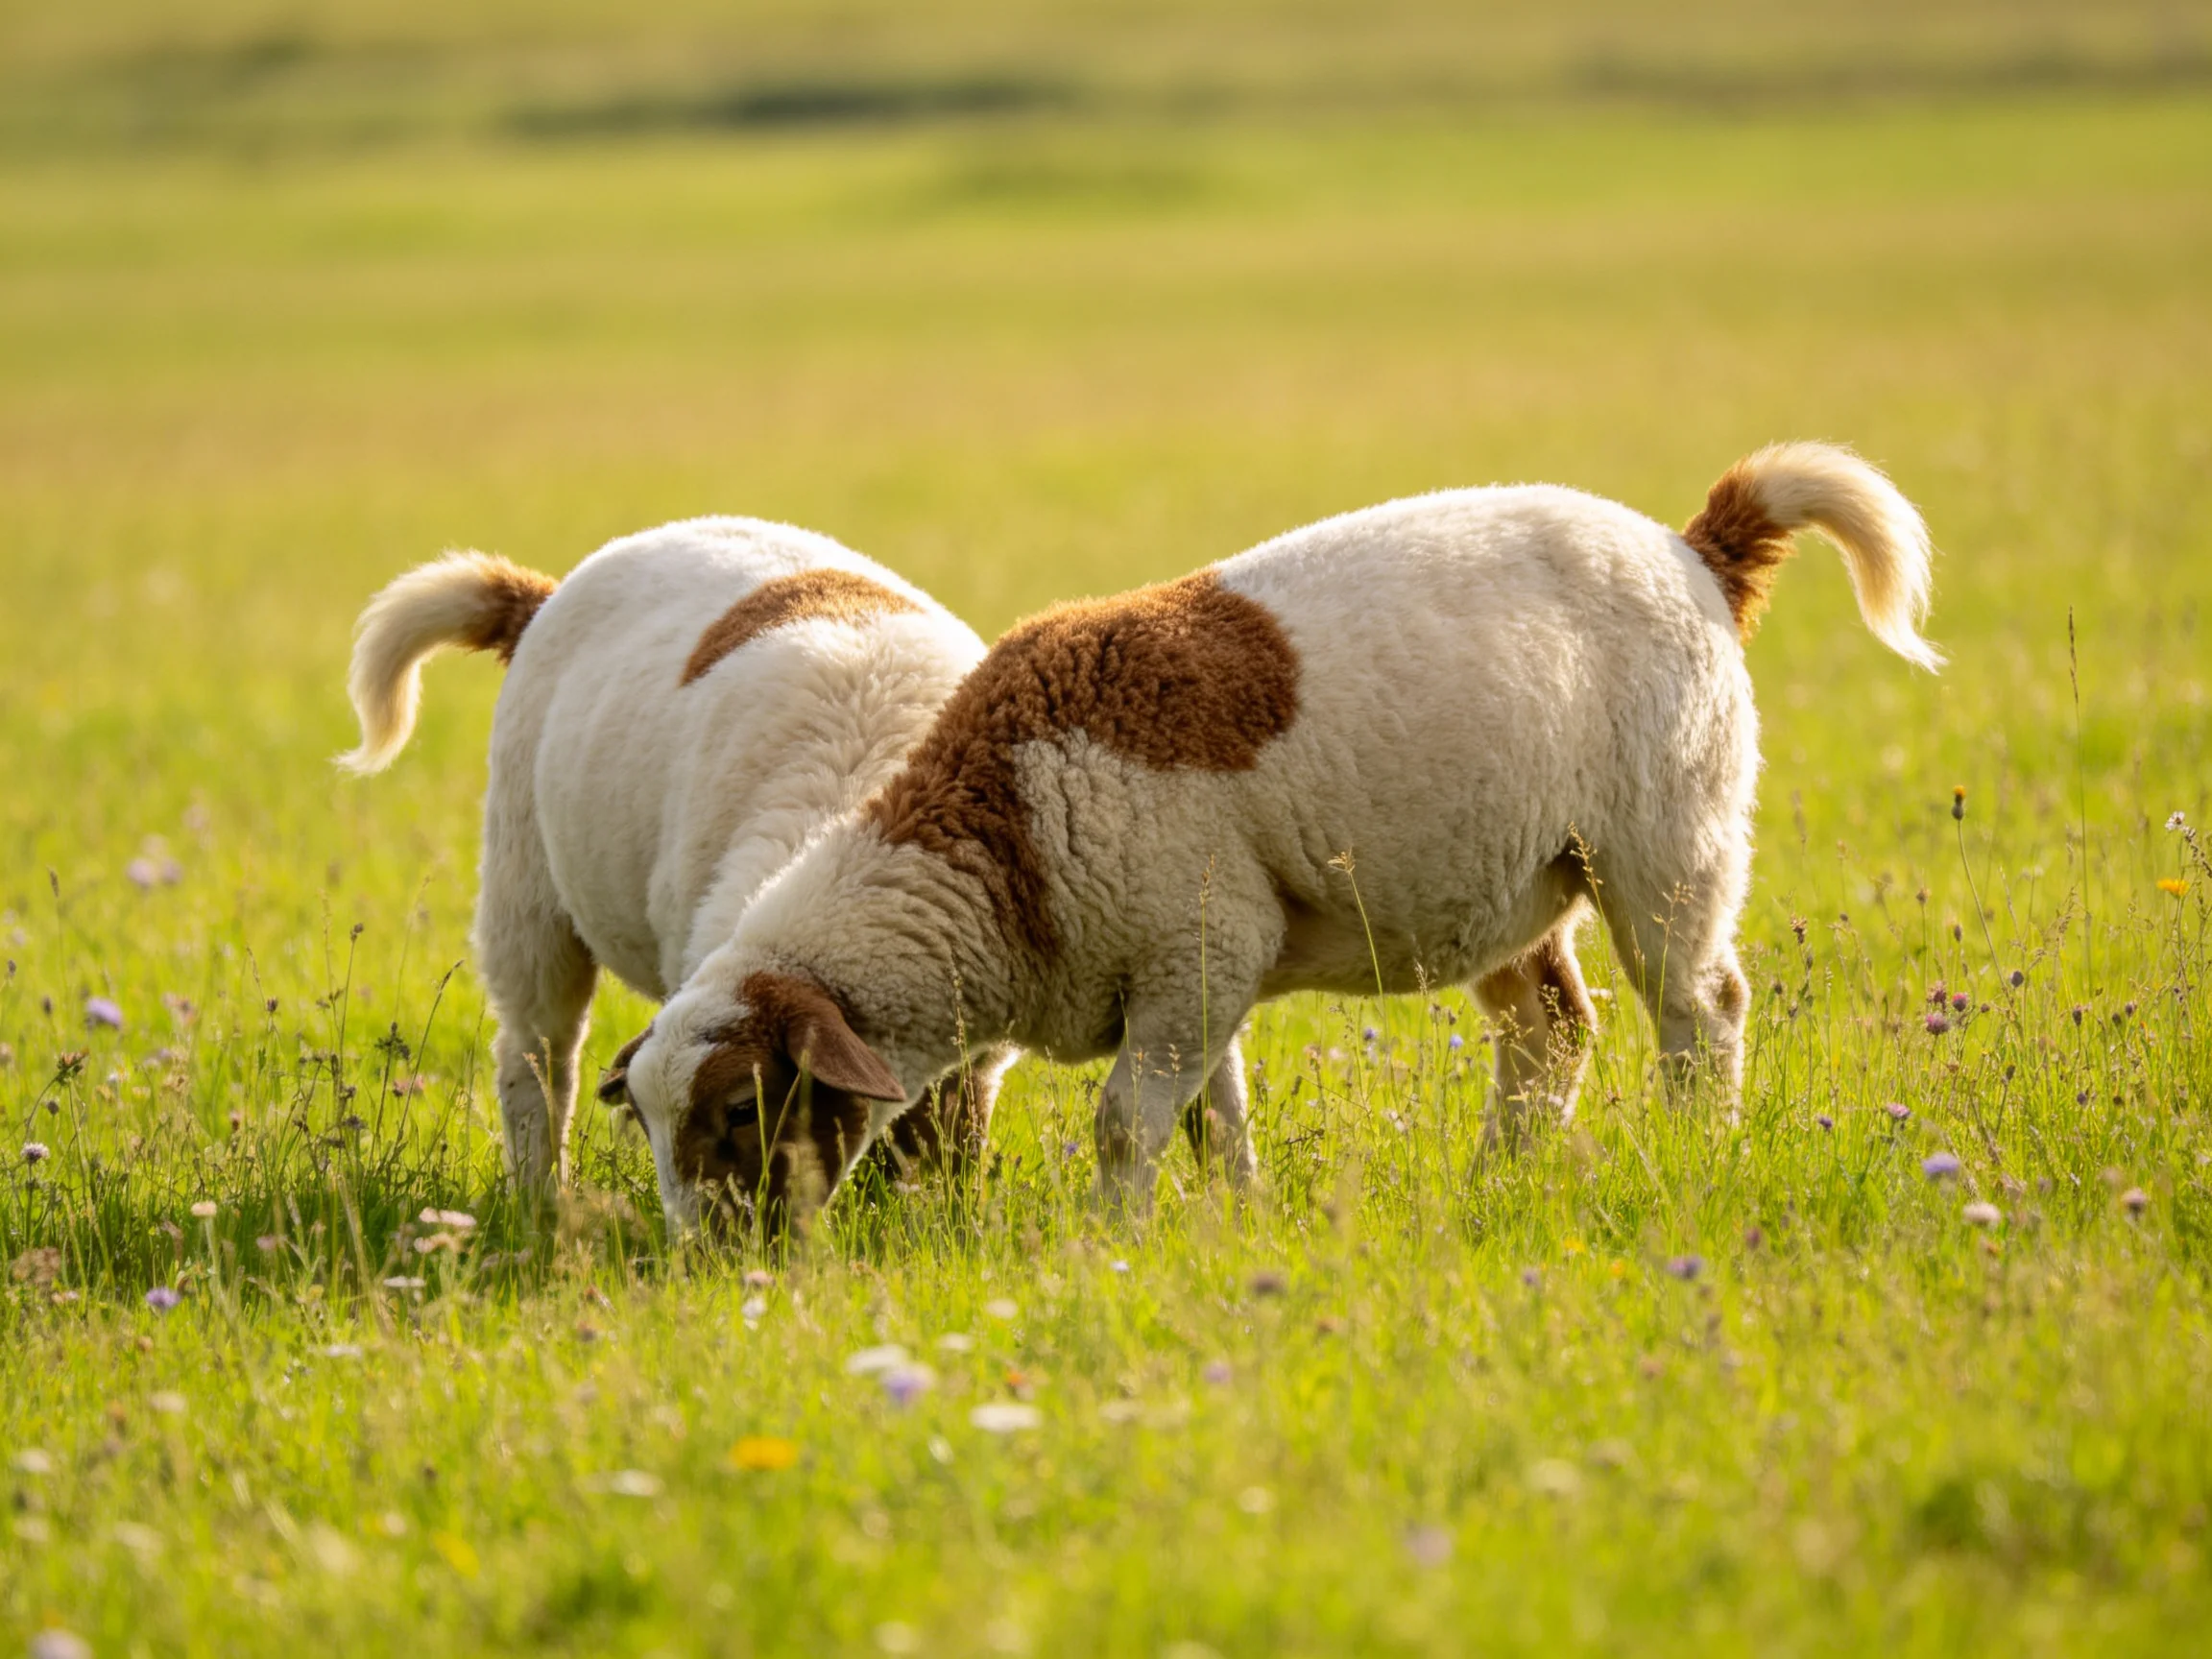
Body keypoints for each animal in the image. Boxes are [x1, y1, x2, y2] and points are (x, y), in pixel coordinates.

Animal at [338, 515, 1005, 1196]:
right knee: (536, 1059)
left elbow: (948, 1131)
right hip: (525, 890)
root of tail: (547, 595)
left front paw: (937, 1206)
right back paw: (542, 1196)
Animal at [611, 444, 1939, 1230]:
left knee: (1699, 1009)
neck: (1001, 854)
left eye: (742, 1111)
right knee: (1555, 1031)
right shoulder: (1203, 967)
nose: (712, 1261)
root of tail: (1698, 549)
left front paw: (1113, 1241)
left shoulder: (1193, 947)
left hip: (1669, 827)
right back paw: (1494, 1180)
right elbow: (1216, 1116)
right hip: (1515, 877)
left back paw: (1695, 1153)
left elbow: (1126, 1123)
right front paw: (1232, 1221)